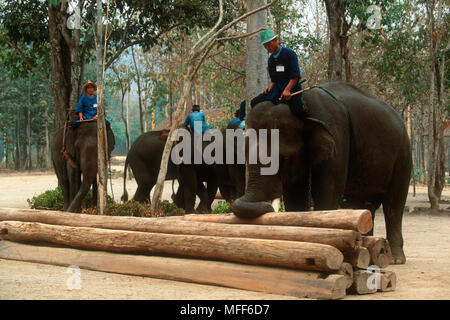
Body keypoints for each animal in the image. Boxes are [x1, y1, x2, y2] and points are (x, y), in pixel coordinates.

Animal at [234, 81, 414, 264]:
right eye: (244, 154)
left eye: (283, 158)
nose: (268, 208)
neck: (303, 107)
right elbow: (295, 193)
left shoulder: (337, 136)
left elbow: (327, 189)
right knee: (364, 206)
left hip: (403, 155)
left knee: (394, 204)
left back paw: (395, 259)